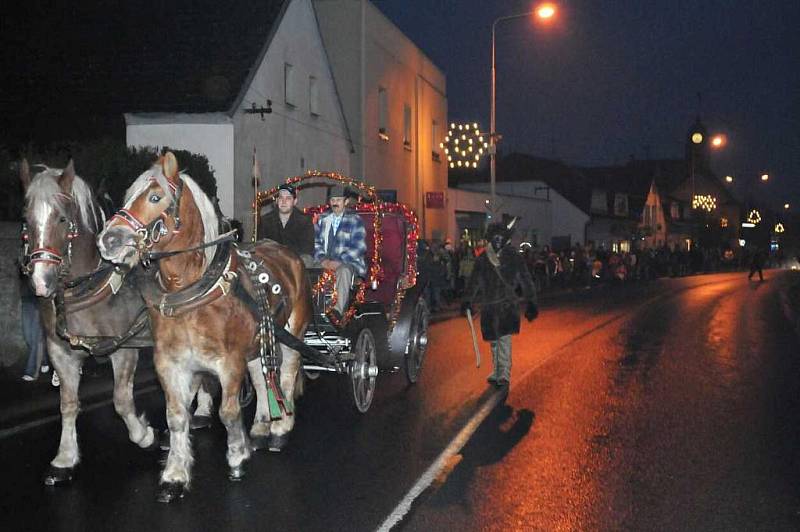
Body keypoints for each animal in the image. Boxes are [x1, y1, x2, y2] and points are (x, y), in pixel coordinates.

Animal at [97, 152, 312, 500]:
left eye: (155, 197)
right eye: (127, 195)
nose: (109, 239)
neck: (190, 291)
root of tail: (287, 253)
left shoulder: (229, 362)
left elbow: (228, 412)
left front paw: (237, 457)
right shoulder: (170, 364)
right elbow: (175, 416)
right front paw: (174, 473)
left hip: (292, 333)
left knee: (287, 374)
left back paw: (281, 427)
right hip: (257, 343)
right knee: (261, 378)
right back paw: (261, 426)